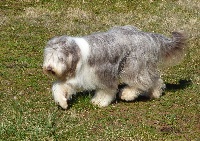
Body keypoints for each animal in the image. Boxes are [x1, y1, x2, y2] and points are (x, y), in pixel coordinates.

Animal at [42, 25, 186, 109]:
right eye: (48, 56)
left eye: (60, 58)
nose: (49, 68)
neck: (78, 54)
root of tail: (148, 36)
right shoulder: (76, 76)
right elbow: (59, 86)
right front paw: (62, 101)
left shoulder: (103, 73)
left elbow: (107, 90)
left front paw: (99, 101)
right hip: (143, 65)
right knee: (154, 79)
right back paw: (155, 92)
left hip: (132, 65)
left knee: (141, 81)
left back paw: (127, 94)